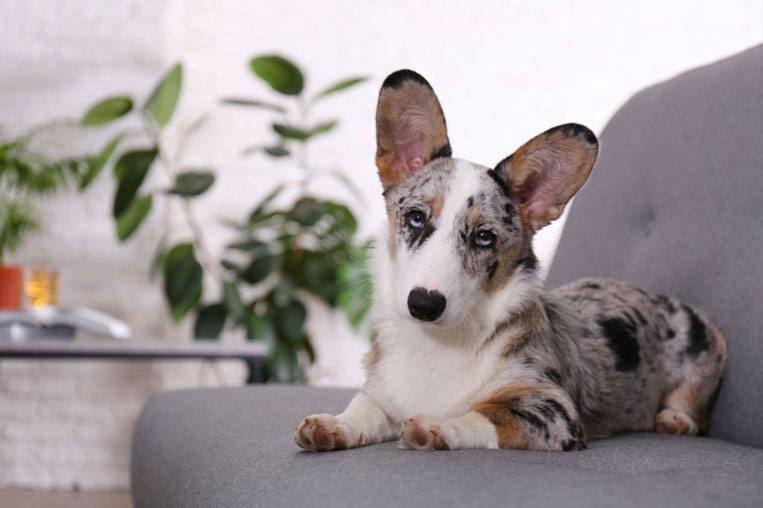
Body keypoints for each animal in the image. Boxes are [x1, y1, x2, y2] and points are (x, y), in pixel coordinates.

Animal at [292, 70, 728, 452]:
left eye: (484, 237)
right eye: (416, 217)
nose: (424, 304)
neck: (438, 343)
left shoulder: (551, 410)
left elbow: (484, 416)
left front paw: (435, 428)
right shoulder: (382, 392)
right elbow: (364, 409)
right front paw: (330, 427)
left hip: (703, 357)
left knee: (693, 409)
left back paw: (674, 420)